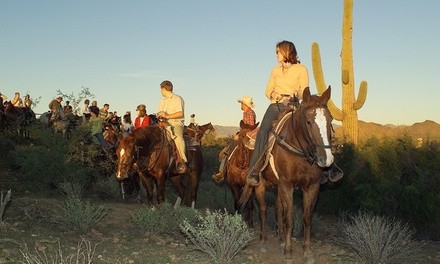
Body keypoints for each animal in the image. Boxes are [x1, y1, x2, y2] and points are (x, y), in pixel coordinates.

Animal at [241, 86, 334, 262]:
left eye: (330, 120)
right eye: (308, 122)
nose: (326, 159)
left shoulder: (312, 186)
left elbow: (306, 217)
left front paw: (307, 251)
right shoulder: (287, 185)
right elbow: (289, 217)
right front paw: (289, 253)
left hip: (278, 187)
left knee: (278, 208)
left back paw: (281, 239)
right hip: (261, 185)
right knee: (263, 209)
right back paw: (264, 241)